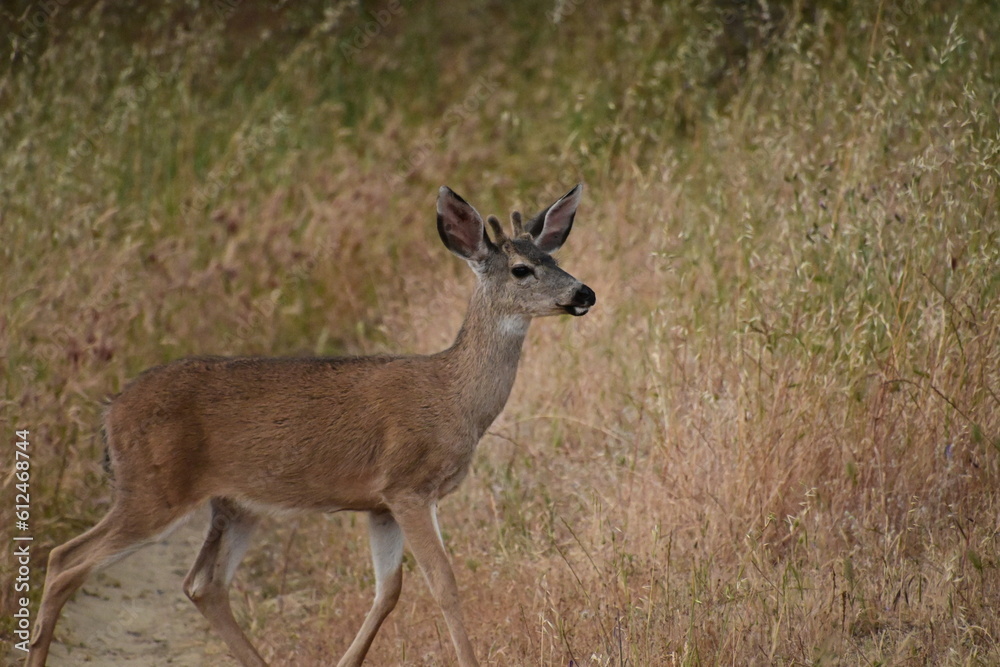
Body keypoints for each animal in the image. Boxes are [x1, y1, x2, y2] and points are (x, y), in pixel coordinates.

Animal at [27, 184, 592, 667]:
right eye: (521, 269)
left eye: (555, 259)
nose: (583, 293)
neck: (454, 397)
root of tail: (109, 411)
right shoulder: (409, 485)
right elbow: (444, 584)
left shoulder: (380, 503)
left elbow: (388, 592)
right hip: (153, 488)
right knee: (65, 560)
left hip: (235, 504)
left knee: (202, 584)